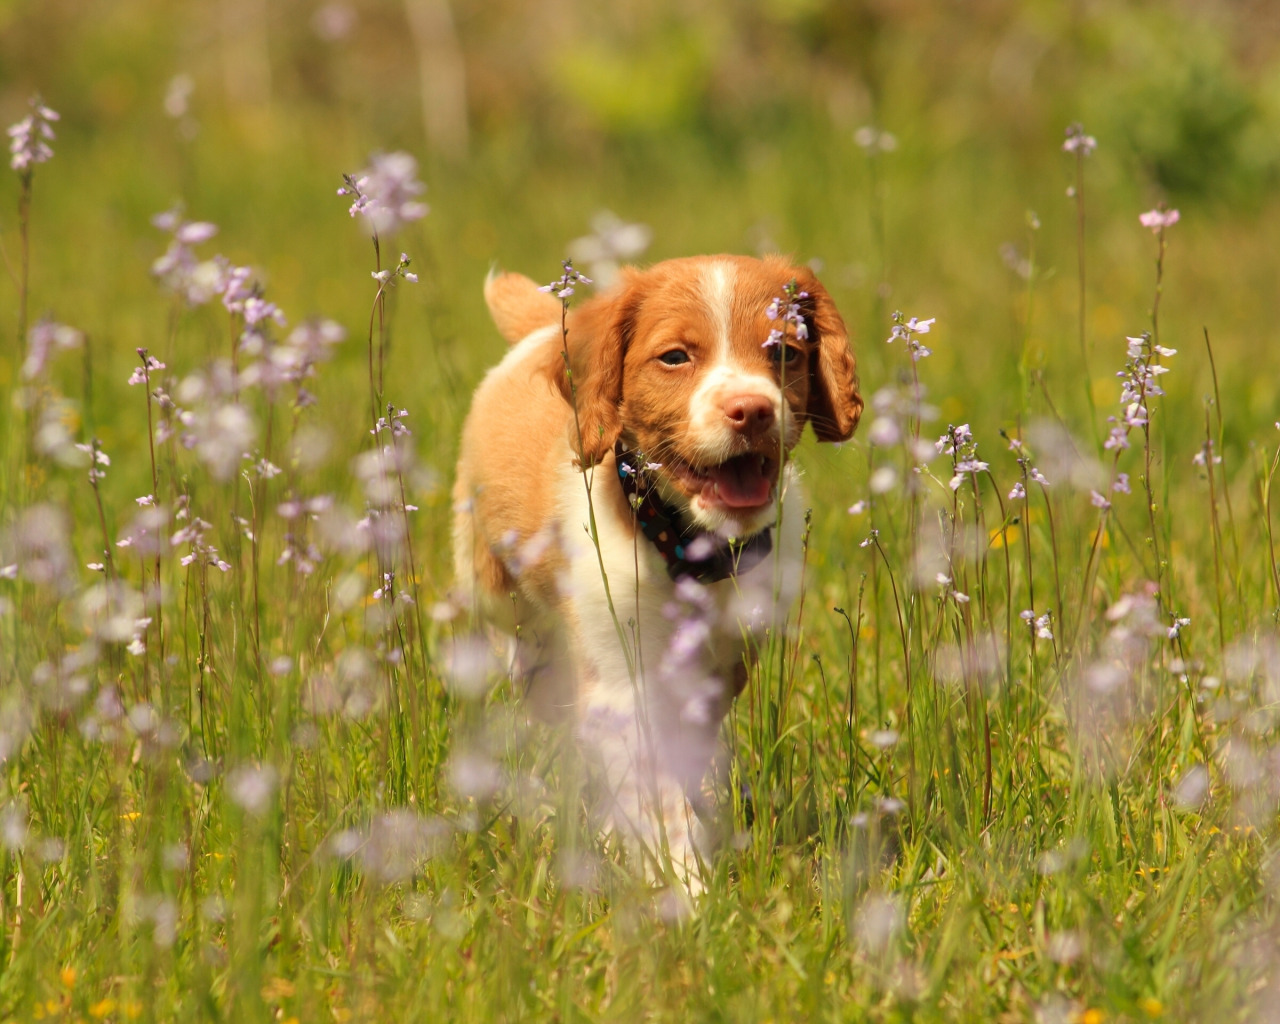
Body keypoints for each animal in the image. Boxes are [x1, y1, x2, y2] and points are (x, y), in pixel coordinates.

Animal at [450, 253, 860, 885]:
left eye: (785, 351)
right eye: (674, 357)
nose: (753, 410)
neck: (686, 549)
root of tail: (541, 331)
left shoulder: (720, 670)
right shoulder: (618, 675)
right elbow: (655, 792)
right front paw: (685, 886)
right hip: (503, 606)